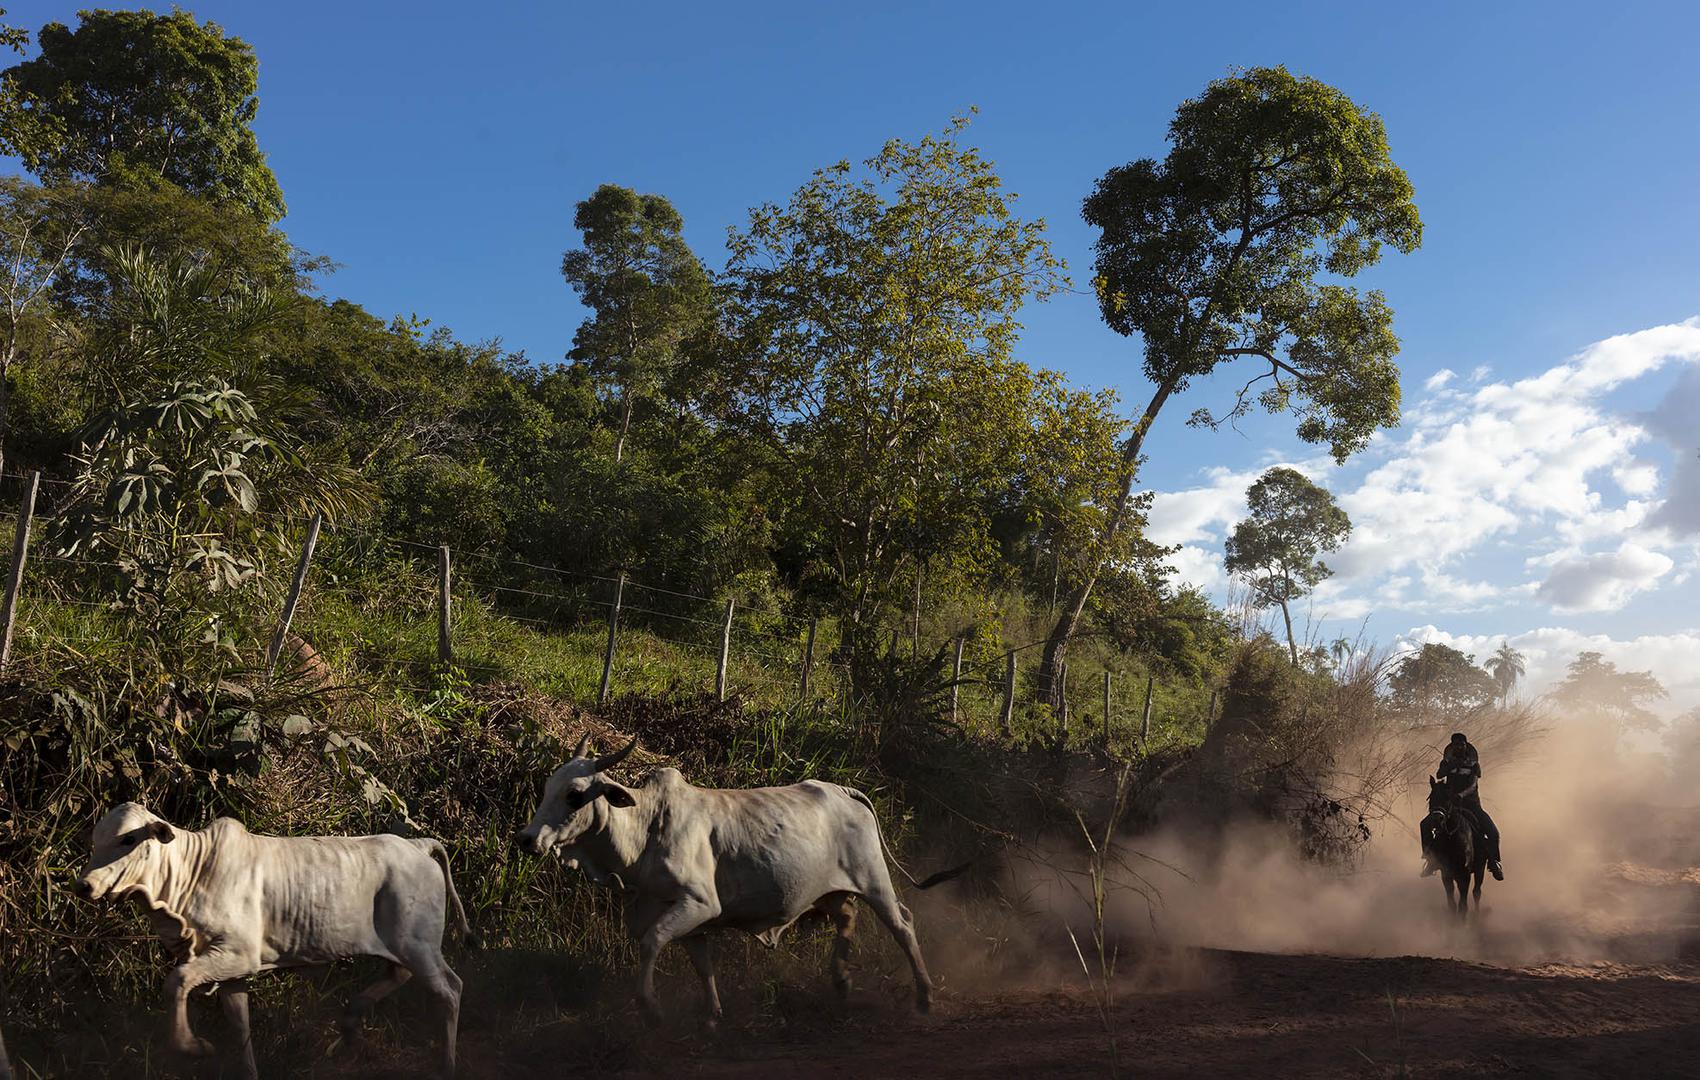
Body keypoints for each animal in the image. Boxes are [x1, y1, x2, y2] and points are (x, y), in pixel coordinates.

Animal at [1423, 775, 1488, 919]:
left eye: (1448, 798)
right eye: (1431, 797)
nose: (1437, 819)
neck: (1451, 839)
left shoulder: (1464, 874)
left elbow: (1463, 904)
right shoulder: (1446, 873)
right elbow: (1452, 903)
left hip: (1480, 869)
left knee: (1477, 892)